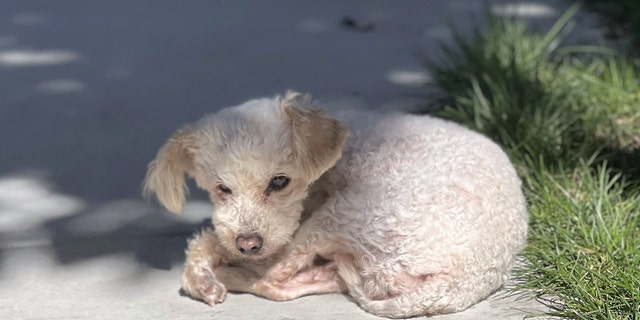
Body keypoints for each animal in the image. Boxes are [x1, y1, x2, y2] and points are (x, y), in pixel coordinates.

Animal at [142, 91, 528, 318]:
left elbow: (214, 245)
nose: (248, 244)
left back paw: (230, 274)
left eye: (279, 181)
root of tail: (462, 281)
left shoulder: (288, 228)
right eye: (222, 188)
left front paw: (205, 273)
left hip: (348, 212)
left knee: (271, 278)